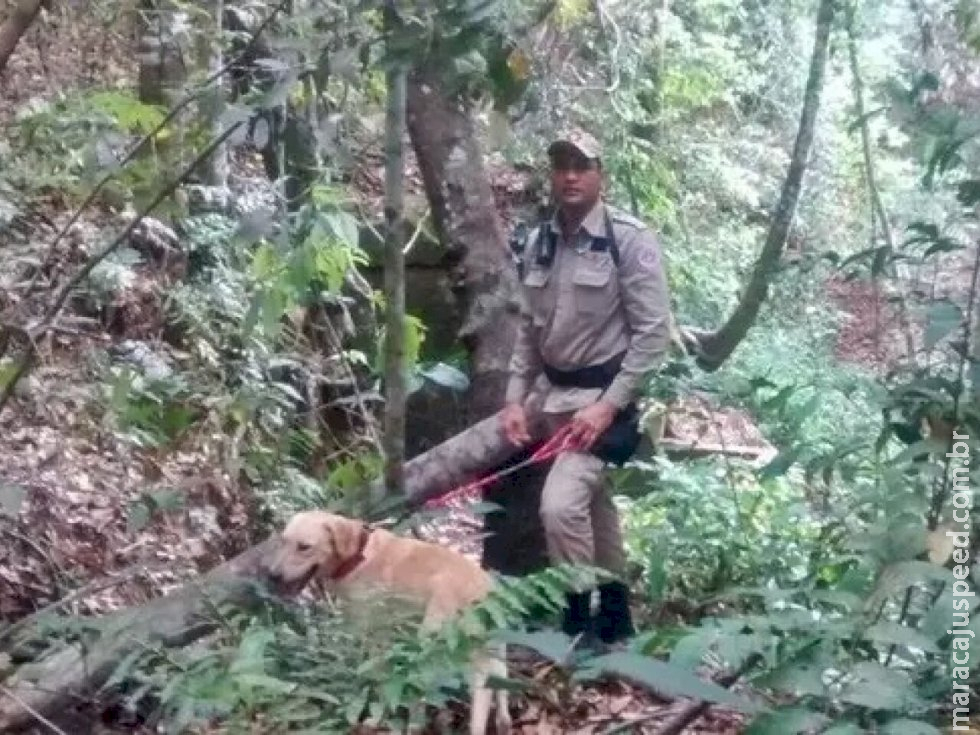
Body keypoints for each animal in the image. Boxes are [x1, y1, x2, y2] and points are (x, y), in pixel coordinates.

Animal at [266, 512, 512, 735]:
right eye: (283, 541)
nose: (272, 575)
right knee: (500, 677)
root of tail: (483, 590)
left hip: (436, 644)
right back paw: (504, 721)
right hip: (492, 647)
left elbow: (382, 682)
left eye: (304, 547)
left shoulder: (376, 638)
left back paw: (416, 725)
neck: (357, 557)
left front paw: (377, 720)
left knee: (475, 691)